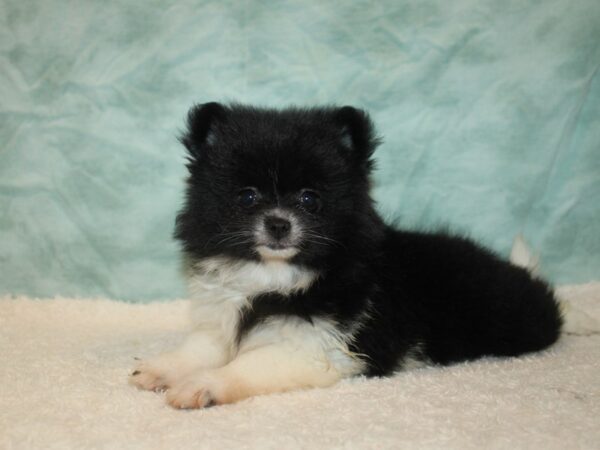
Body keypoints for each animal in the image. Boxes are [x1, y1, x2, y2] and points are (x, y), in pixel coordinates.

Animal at [130, 103, 564, 410]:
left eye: (309, 199)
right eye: (247, 197)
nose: (278, 224)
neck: (275, 275)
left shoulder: (316, 349)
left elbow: (244, 365)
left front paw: (203, 385)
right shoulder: (220, 319)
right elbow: (199, 349)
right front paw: (162, 367)